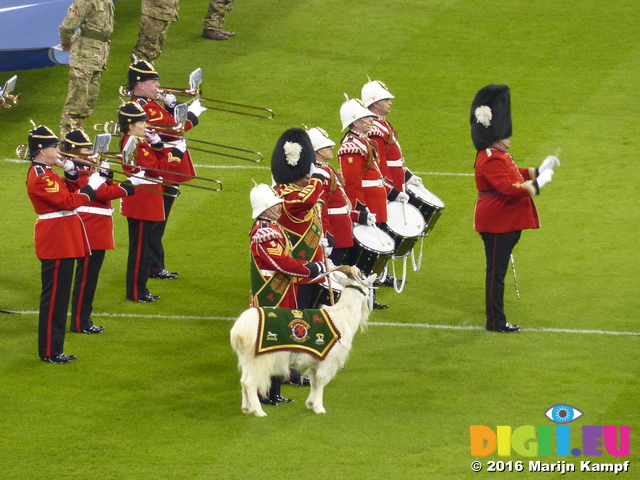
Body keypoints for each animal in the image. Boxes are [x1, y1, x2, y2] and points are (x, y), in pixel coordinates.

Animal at [230, 274, 376, 416]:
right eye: (368, 291)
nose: (371, 306)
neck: (343, 316)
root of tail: (239, 330)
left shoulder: (315, 360)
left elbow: (314, 381)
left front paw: (310, 404)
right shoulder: (327, 359)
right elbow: (321, 381)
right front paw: (319, 408)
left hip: (247, 359)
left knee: (243, 381)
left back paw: (246, 408)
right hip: (260, 360)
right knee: (250, 383)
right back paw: (258, 411)